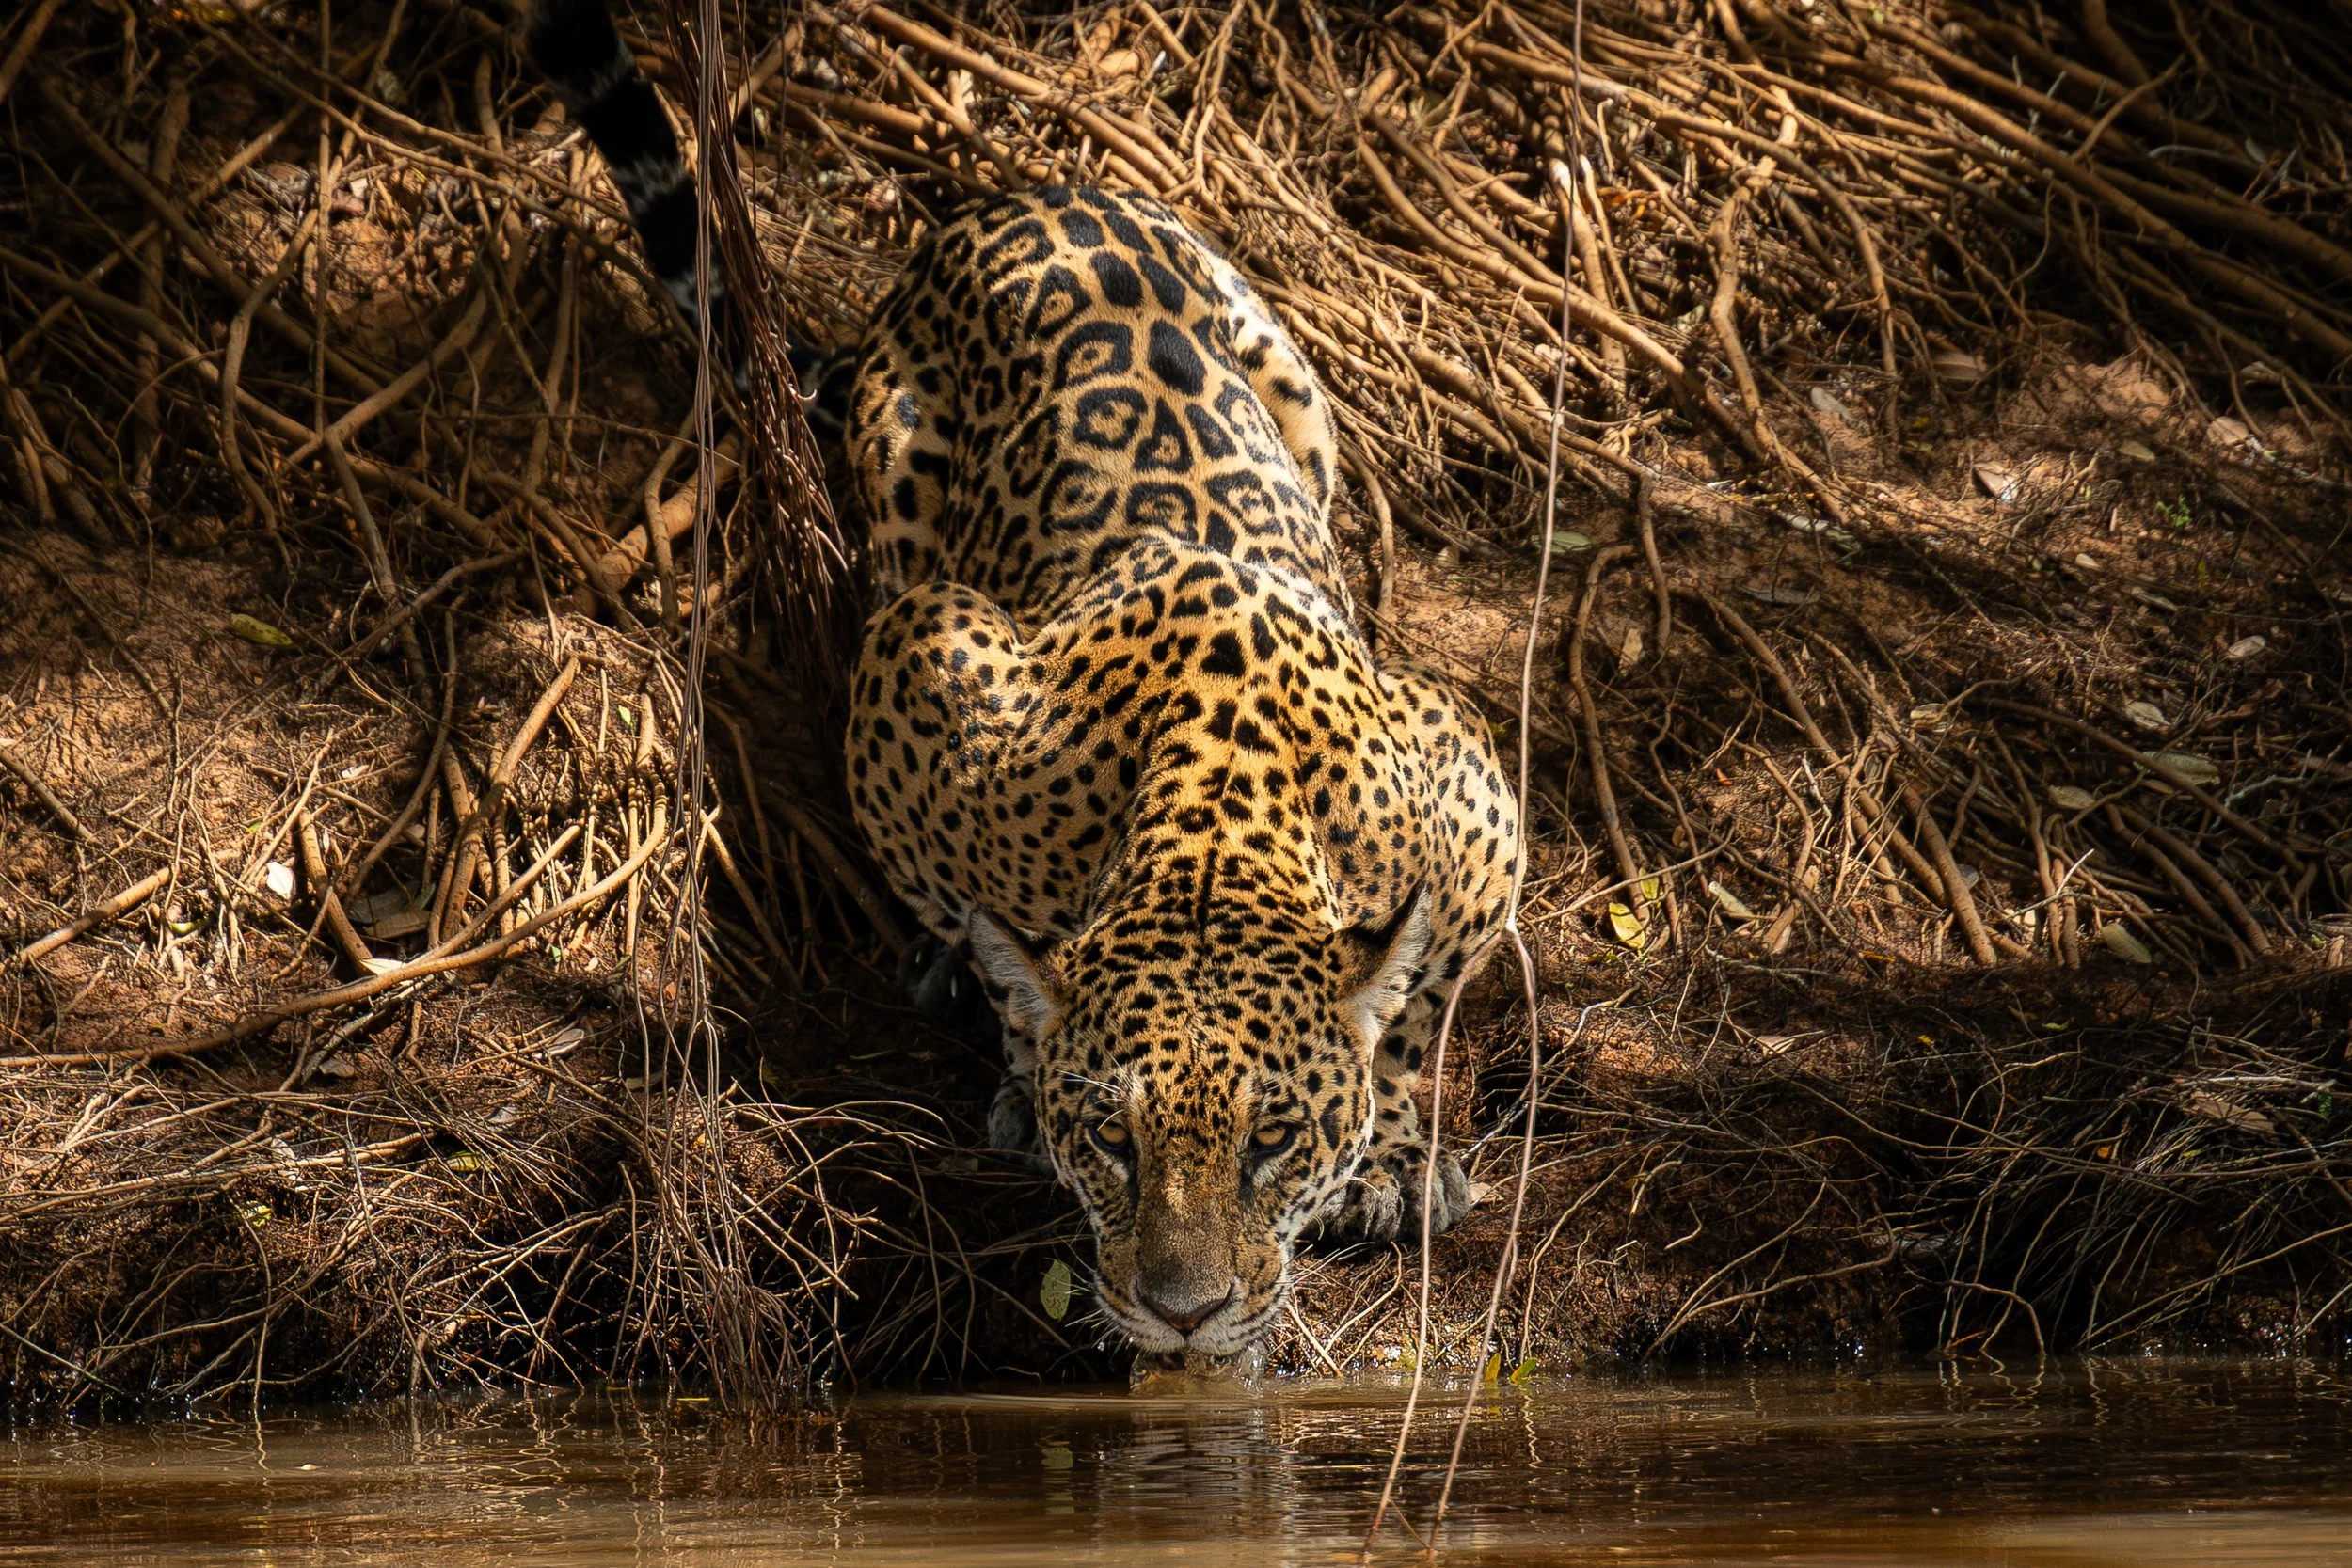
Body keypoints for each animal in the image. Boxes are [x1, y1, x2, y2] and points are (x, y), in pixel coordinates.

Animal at [528, 0, 1521, 1361]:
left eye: (1272, 1137)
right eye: (1112, 1135)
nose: (1184, 1310)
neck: (1218, 803)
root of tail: (996, 209)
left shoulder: (1467, 780)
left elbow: (1419, 1000)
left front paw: (1398, 1143)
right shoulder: (930, 657)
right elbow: (991, 934)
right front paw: (1013, 1044)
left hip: (1290, 384)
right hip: (898, 477)